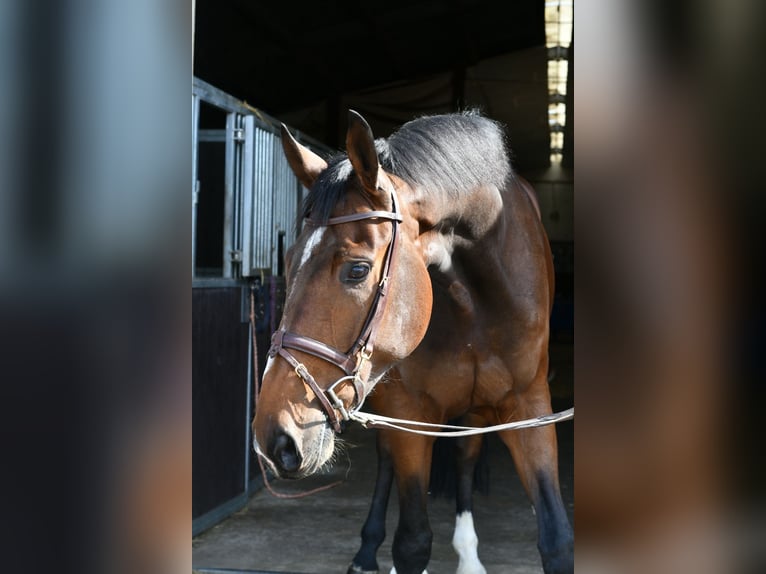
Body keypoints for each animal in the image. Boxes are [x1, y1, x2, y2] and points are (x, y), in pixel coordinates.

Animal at [252, 110, 573, 574]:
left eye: (357, 270)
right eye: (290, 260)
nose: (274, 437)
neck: (473, 300)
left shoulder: (528, 407)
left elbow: (556, 538)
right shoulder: (409, 411)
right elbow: (412, 542)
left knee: (465, 456)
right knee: (387, 461)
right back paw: (367, 551)